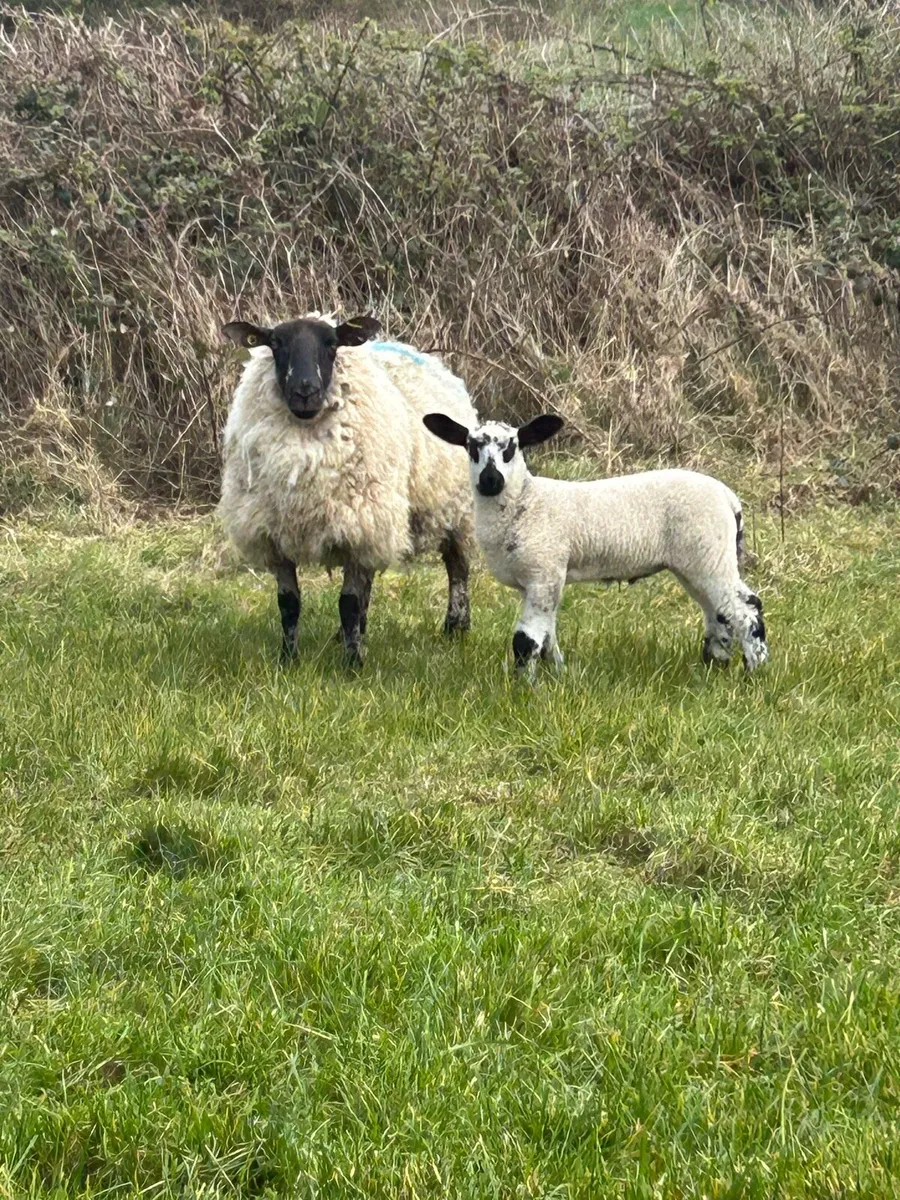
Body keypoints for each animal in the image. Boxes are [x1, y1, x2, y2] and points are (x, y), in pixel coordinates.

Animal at [218, 313, 477, 666]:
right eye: (275, 343)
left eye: (332, 343)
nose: (305, 390)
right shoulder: (275, 535)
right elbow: (289, 604)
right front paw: (289, 660)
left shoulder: (362, 527)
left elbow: (349, 604)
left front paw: (353, 664)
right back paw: (347, 635)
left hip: (452, 508)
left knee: (458, 567)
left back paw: (456, 626)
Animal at [423, 412, 768, 679]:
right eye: (471, 447)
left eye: (513, 447)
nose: (490, 480)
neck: (525, 501)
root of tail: (729, 498)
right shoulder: (539, 579)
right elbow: (547, 634)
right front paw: (557, 673)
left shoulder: (544, 572)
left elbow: (526, 639)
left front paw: (525, 687)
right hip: (698, 561)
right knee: (718, 612)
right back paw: (715, 666)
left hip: (709, 553)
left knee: (746, 607)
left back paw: (755, 672)